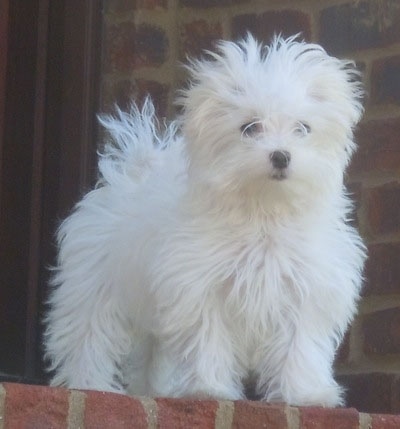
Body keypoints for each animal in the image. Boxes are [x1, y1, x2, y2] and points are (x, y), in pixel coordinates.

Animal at [43, 36, 366, 404]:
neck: (264, 212)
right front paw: (209, 388)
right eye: (250, 128)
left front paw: (305, 394)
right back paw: (89, 385)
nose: (281, 155)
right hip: (93, 288)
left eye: (303, 128)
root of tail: (128, 175)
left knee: (151, 353)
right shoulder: (201, 289)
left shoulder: (306, 292)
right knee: (88, 337)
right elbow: (208, 339)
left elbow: (299, 346)